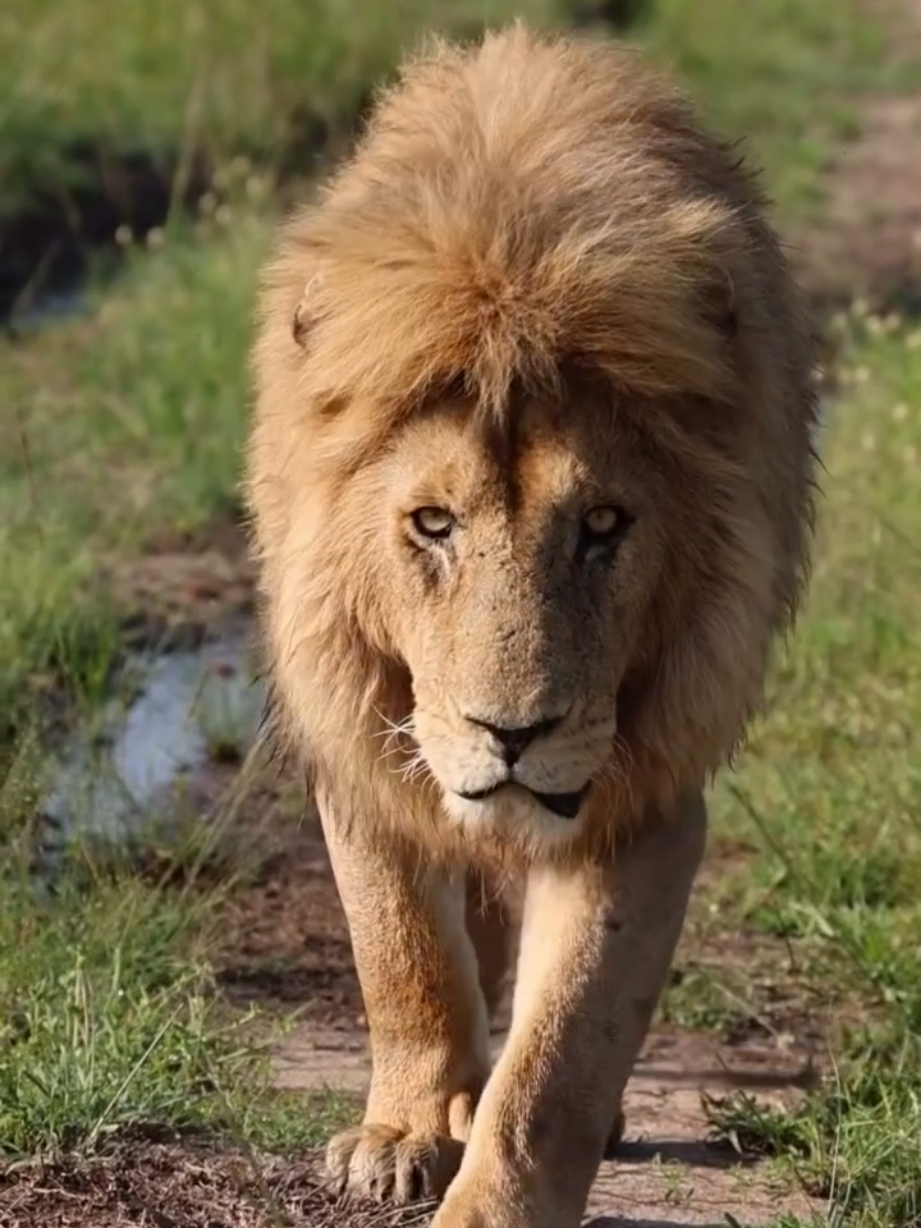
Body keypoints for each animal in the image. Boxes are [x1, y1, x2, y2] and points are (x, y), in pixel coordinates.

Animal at [244, 22, 817, 1228]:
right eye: (432, 523)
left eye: (601, 525)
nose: (512, 734)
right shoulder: (362, 748)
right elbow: (403, 950)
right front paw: (403, 1134)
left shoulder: (641, 802)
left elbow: (561, 1050)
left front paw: (493, 1189)